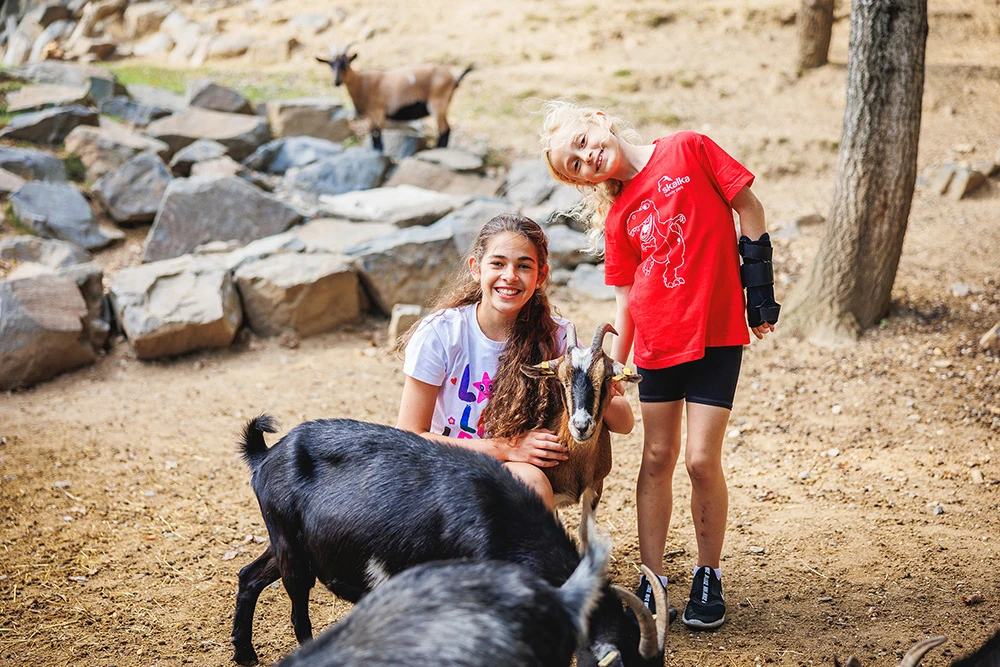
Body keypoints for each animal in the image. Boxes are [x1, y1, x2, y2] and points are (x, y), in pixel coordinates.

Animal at [315, 45, 472, 151]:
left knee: (445, 129)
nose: (336, 81)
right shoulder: (372, 114)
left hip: (437, 104)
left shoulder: (378, 110)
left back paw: (438, 150)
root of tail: (454, 78)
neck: (362, 82)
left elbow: (377, 133)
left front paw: (380, 151)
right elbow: (373, 132)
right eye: (330, 64)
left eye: (345, 63)